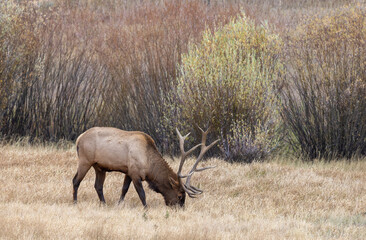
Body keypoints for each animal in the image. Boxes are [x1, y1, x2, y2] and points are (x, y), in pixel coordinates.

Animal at [73, 126, 219, 207]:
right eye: (179, 196)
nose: (180, 209)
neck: (149, 167)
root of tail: (79, 138)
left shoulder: (128, 171)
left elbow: (124, 189)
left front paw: (119, 204)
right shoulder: (135, 173)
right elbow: (142, 194)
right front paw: (146, 209)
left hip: (99, 167)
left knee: (98, 186)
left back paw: (104, 204)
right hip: (85, 160)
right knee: (76, 180)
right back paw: (75, 202)